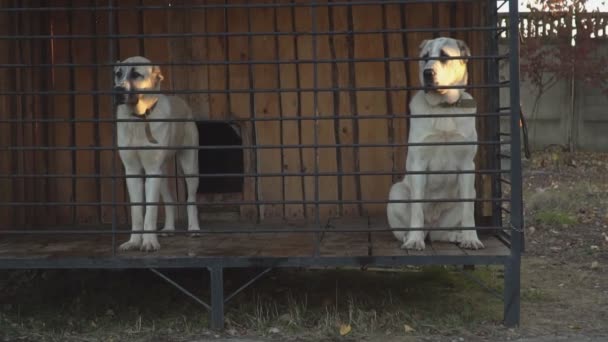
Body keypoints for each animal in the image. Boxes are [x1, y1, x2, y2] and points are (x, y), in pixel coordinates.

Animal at [113, 56, 201, 251]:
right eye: (118, 74)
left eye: (136, 74)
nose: (116, 91)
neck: (139, 119)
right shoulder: (133, 172)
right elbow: (137, 212)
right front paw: (134, 241)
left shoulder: (153, 171)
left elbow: (151, 211)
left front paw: (149, 242)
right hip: (161, 174)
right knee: (169, 200)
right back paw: (168, 228)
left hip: (189, 168)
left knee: (191, 199)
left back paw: (194, 228)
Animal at [390, 37, 484, 251]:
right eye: (425, 57)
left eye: (444, 56)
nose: (428, 73)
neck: (443, 108)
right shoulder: (419, 164)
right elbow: (417, 208)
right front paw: (414, 240)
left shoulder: (467, 165)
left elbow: (468, 211)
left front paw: (471, 238)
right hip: (396, 192)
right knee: (407, 230)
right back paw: (410, 236)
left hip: (469, 193)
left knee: (440, 234)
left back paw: (457, 236)